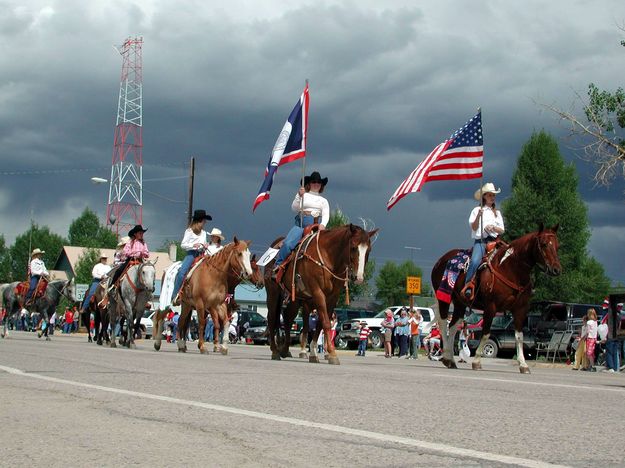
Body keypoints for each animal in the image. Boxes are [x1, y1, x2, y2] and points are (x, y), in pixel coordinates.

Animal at [262, 224, 376, 366]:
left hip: (295, 299)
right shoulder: (317, 292)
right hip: (273, 293)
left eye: (368, 250)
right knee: (272, 318)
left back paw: (285, 350)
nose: (358, 278)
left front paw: (313, 353)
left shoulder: (332, 297)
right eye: (354, 247)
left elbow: (320, 323)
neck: (328, 257)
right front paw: (332, 354)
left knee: (288, 319)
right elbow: (325, 323)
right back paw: (275, 351)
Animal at [428, 225, 560, 374]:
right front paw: (477, 362)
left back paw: (450, 360)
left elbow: (519, 337)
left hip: (460, 303)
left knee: (453, 326)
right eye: (543, 244)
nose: (556, 269)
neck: (510, 269)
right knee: (443, 323)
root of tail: (440, 261)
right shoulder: (491, 307)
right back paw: (447, 358)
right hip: (444, 299)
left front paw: (523, 365)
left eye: (557, 246)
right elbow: (486, 333)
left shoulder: (520, 309)